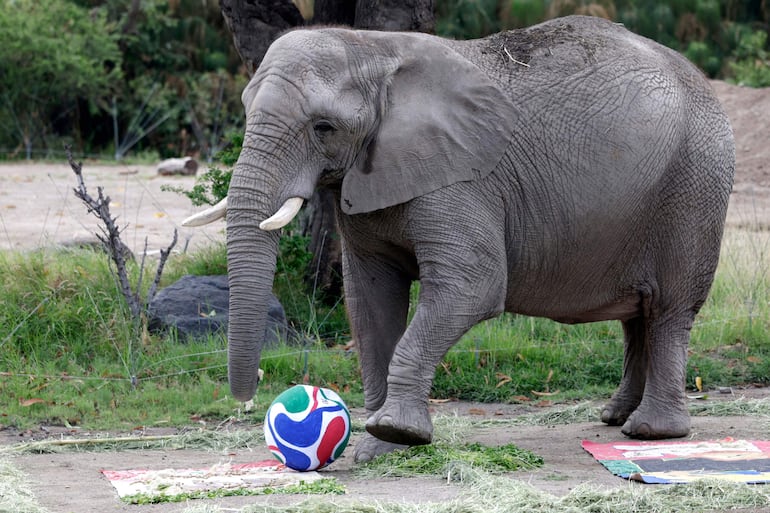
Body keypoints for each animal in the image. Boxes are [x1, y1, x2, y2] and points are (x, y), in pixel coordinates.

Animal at [183, 15, 735, 463]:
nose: (254, 394)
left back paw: (651, 433)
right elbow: (370, 300)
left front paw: (395, 434)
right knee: (637, 314)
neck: (373, 48)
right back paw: (615, 418)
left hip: (694, 185)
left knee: (667, 309)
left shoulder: (462, 179)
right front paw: (379, 451)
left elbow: (473, 286)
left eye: (324, 127)